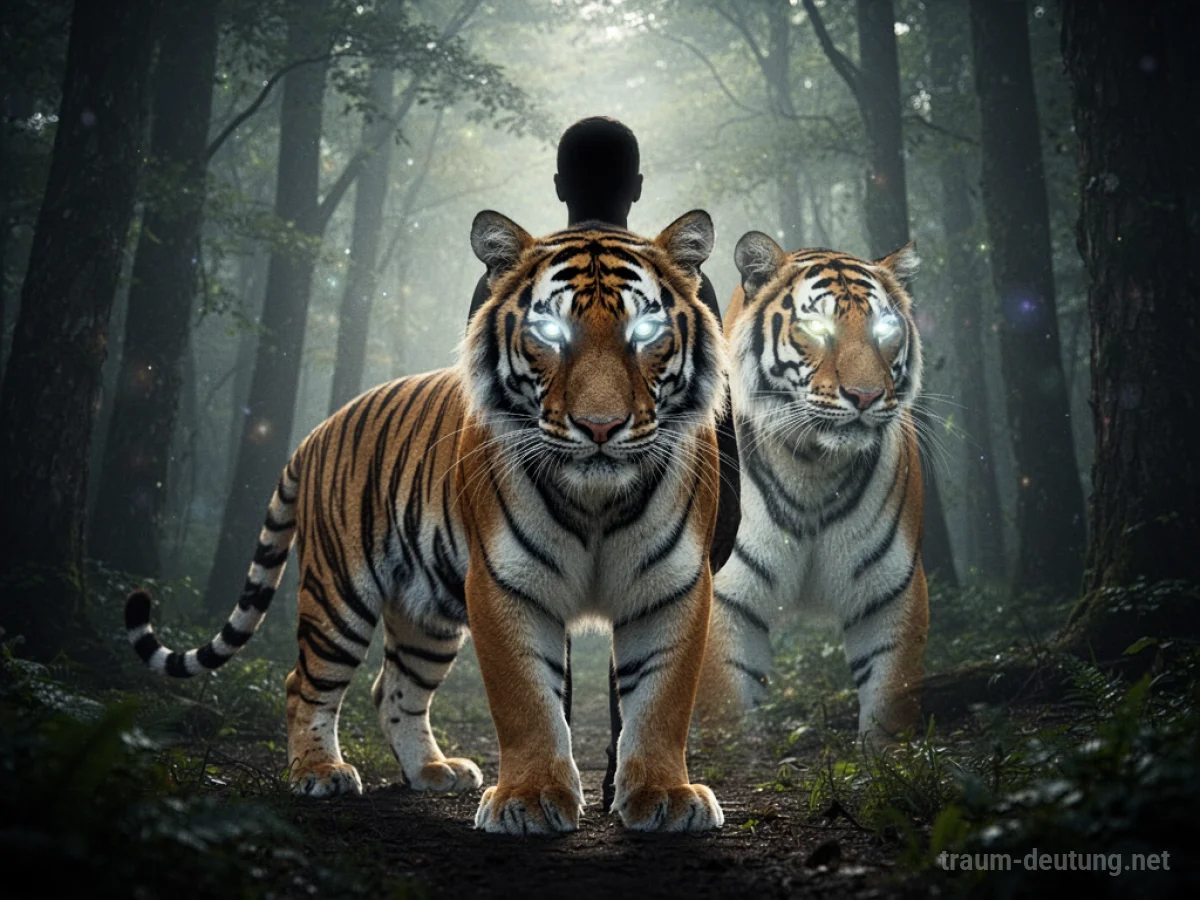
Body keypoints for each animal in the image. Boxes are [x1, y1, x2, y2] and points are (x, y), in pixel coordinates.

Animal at [125, 209, 728, 835]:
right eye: (551, 334)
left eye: (645, 333)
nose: (601, 426)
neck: (597, 502)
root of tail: (318, 430)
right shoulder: (504, 585)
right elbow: (526, 701)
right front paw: (531, 799)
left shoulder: (672, 586)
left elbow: (660, 700)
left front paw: (663, 796)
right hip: (338, 593)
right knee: (304, 683)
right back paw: (320, 772)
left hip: (427, 613)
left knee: (394, 689)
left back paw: (433, 771)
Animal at [699, 231, 929, 744]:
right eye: (818, 329)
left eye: (885, 331)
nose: (865, 396)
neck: (812, 465)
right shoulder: (723, 595)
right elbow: (725, 712)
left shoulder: (893, 587)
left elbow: (891, 697)